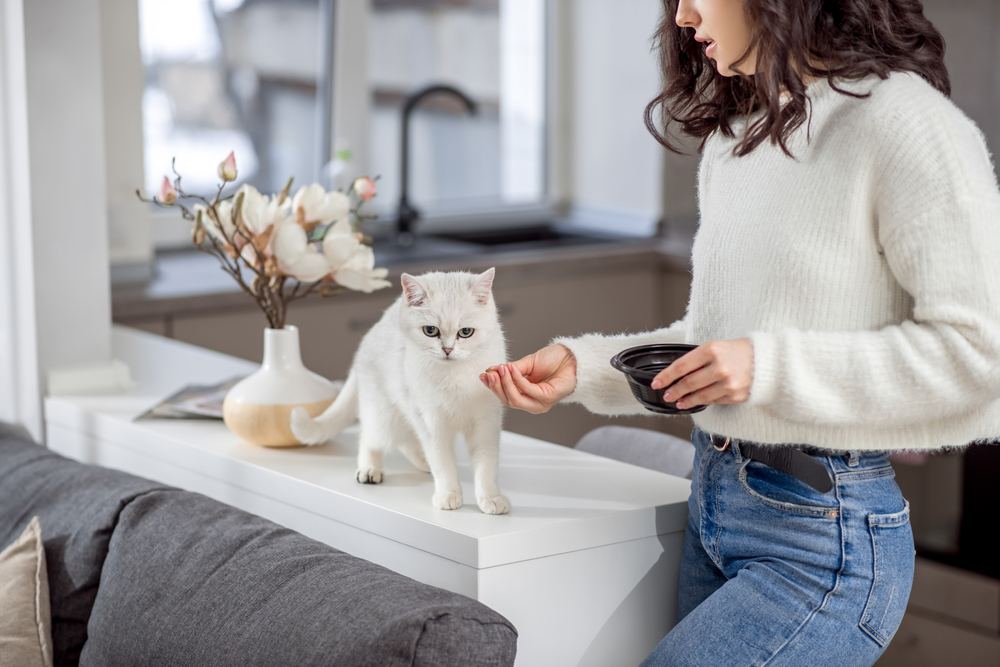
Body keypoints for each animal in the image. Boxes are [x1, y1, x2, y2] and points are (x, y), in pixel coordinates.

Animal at [286, 268, 512, 516]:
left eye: (466, 332)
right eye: (430, 330)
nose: (447, 350)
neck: (454, 375)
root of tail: (367, 342)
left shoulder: (486, 421)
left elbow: (486, 463)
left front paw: (490, 497)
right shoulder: (431, 421)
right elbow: (442, 461)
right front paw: (448, 494)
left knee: (407, 439)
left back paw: (422, 462)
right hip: (384, 413)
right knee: (370, 436)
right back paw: (369, 468)